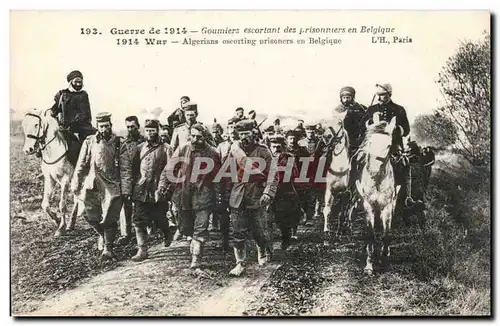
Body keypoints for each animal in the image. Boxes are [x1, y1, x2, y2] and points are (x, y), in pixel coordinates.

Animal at [21, 108, 83, 236]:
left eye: (36, 124)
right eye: (23, 125)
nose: (28, 150)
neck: (54, 151)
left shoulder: (65, 180)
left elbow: (62, 205)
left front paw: (61, 228)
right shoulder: (49, 179)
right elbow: (44, 204)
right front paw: (57, 220)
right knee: (77, 199)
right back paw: (71, 223)